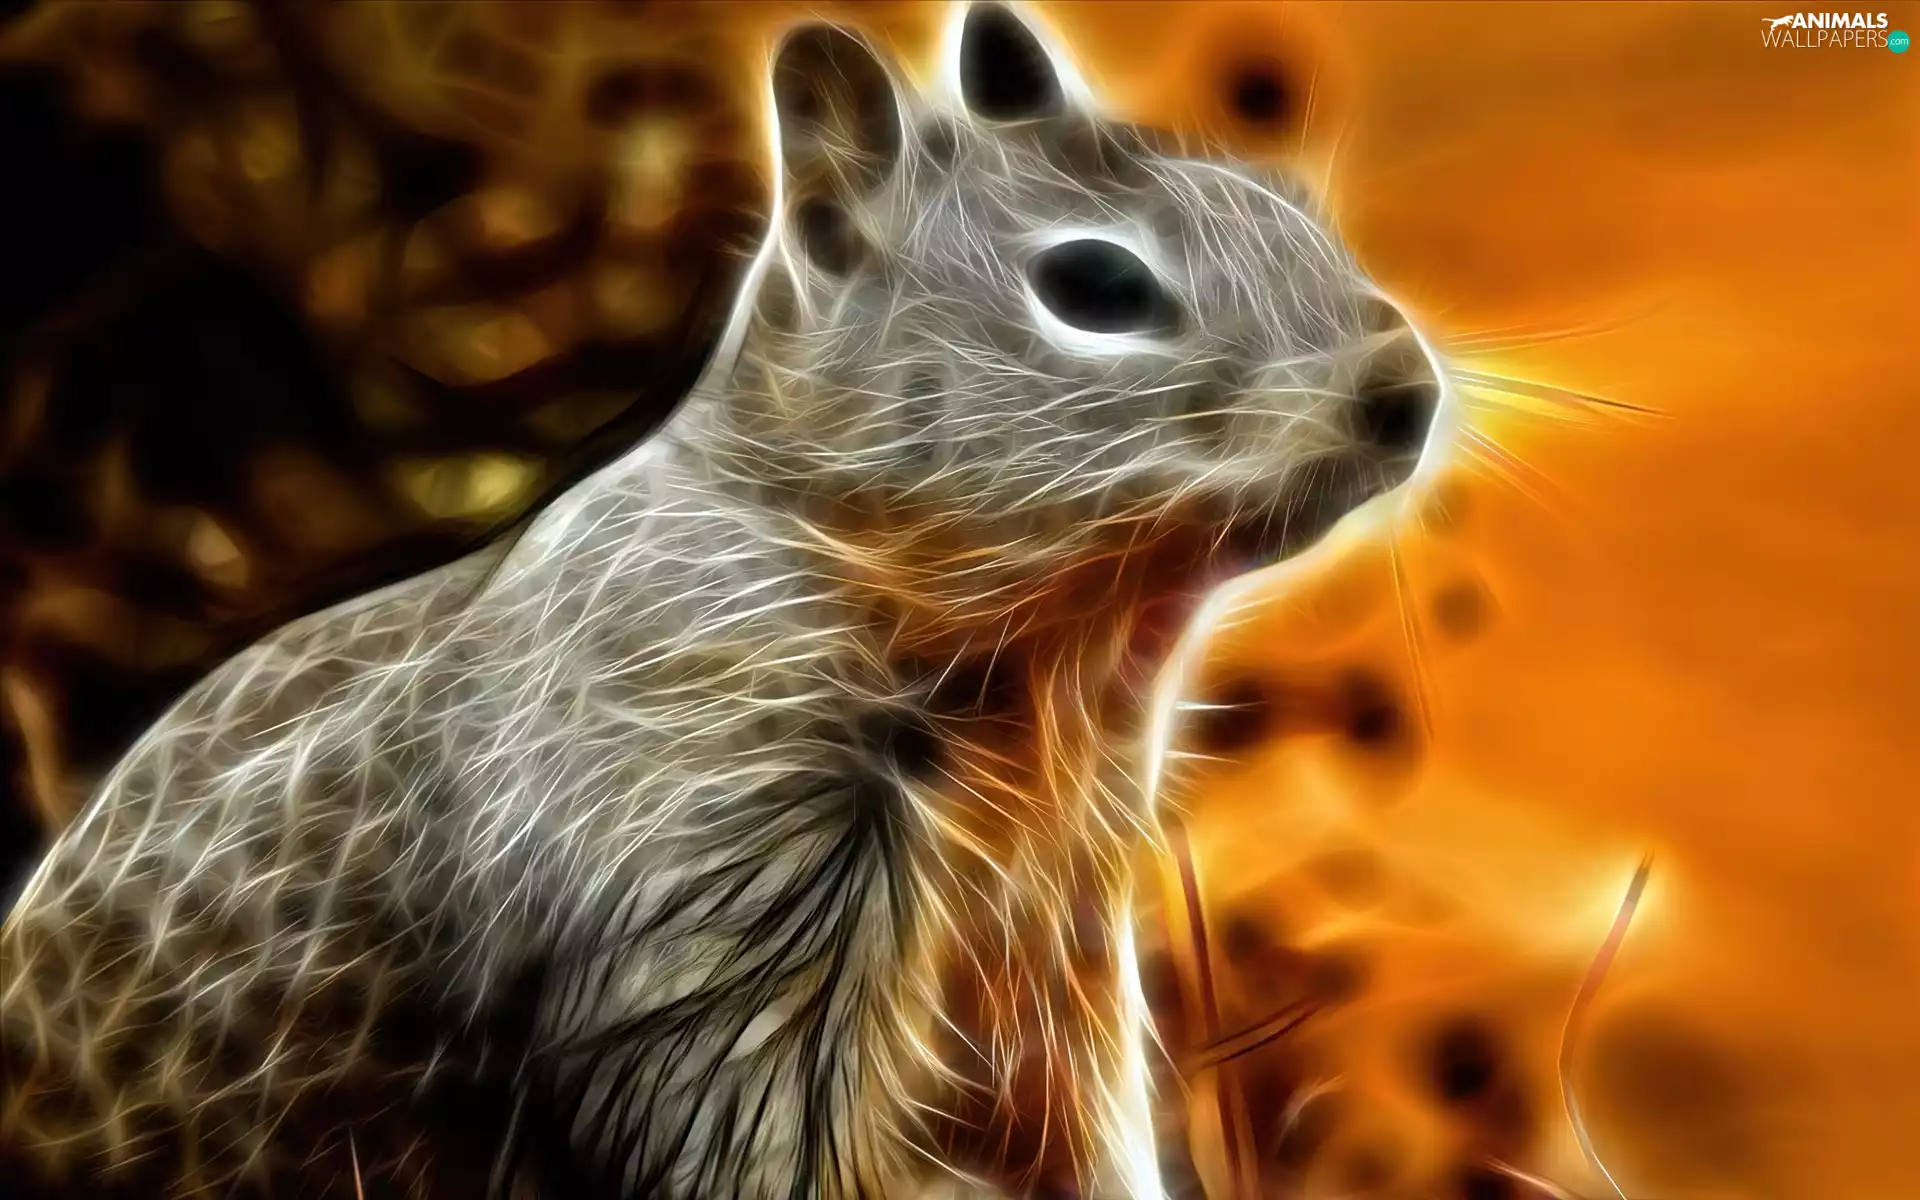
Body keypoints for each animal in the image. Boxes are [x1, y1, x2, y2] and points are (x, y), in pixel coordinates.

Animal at [0, 3, 1444, 1197]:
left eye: (1280, 199)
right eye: (1093, 286)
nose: (1406, 393)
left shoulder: (1056, 953)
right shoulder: (702, 894)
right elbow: (748, 1130)